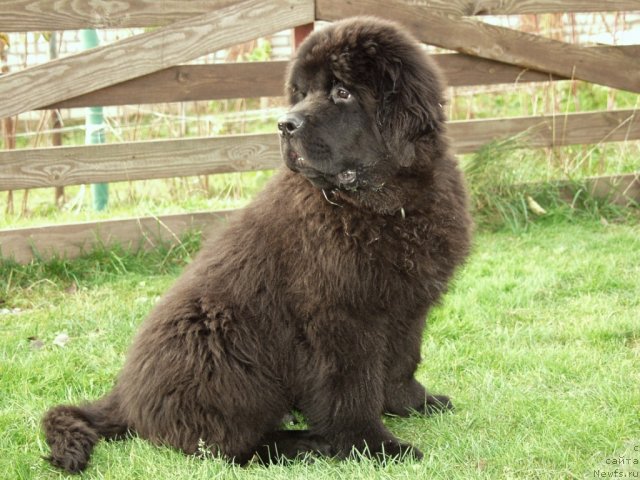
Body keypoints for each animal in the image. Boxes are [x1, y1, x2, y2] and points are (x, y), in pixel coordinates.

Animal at [41, 15, 470, 472]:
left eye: (342, 92)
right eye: (301, 93)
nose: (285, 124)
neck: (384, 208)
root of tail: (125, 398)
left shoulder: (407, 306)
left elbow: (402, 361)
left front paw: (414, 403)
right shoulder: (340, 317)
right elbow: (351, 389)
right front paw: (373, 447)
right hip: (222, 347)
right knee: (221, 443)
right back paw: (303, 444)